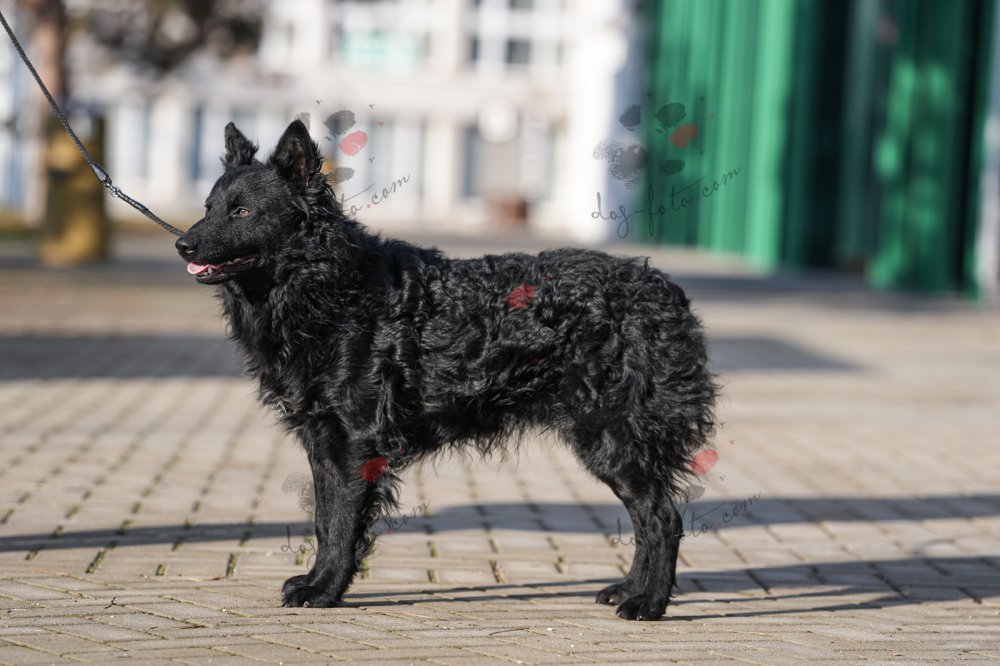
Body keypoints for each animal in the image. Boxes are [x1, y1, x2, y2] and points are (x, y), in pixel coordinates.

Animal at [175, 120, 718, 621]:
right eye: (208, 207)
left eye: (242, 212)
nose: (183, 245)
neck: (331, 287)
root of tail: (664, 291)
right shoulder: (324, 439)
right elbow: (325, 520)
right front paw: (317, 582)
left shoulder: (355, 442)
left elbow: (343, 524)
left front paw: (324, 590)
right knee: (649, 518)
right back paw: (629, 590)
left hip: (611, 435)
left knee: (661, 518)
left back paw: (648, 602)